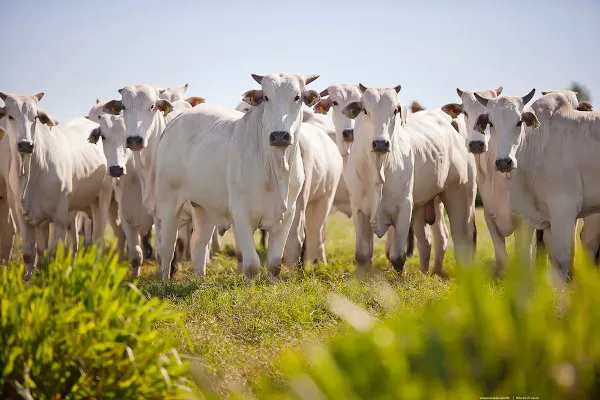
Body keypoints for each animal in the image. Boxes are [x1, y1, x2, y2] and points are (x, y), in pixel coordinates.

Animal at [0, 91, 112, 272]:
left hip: (101, 199)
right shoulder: (25, 217)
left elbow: (52, 255)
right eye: (10, 116)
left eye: (35, 116)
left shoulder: (59, 218)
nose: (25, 144)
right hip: (73, 209)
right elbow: (32, 254)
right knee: (74, 243)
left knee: (97, 241)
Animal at [155, 73, 322, 280]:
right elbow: (251, 265)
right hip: (168, 202)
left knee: (198, 243)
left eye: (297, 97)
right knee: (167, 247)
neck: (277, 167)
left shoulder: (287, 215)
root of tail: (176, 121)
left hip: (203, 207)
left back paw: (201, 279)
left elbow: (274, 265)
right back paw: (165, 281)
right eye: (266, 97)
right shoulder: (241, 213)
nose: (279, 136)